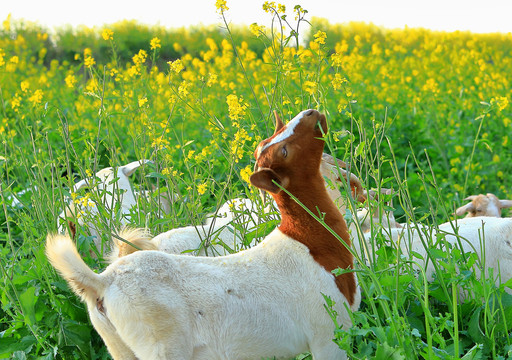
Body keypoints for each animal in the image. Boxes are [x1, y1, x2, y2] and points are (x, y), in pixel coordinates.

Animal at [47, 109, 360, 360]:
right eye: (283, 151)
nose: (311, 112)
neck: (308, 242)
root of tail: (101, 281)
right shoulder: (329, 334)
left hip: (118, 345)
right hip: (161, 345)